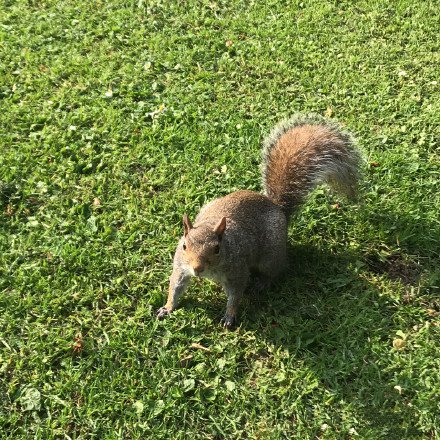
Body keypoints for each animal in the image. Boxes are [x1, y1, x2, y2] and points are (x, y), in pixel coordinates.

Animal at [156, 113, 360, 326]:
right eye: (184, 246)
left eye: (217, 249)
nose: (197, 268)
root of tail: (278, 209)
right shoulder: (181, 267)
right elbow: (176, 286)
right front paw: (167, 307)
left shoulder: (237, 271)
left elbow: (235, 295)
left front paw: (229, 316)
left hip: (270, 254)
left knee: (275, 270)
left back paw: (261, 283)